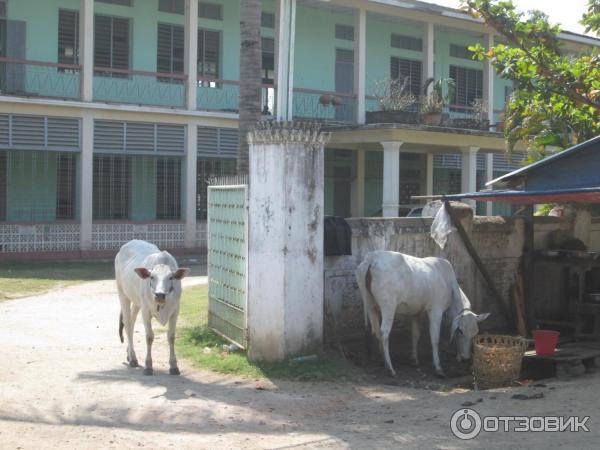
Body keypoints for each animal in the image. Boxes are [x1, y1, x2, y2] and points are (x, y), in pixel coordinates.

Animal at [112, 239, 188, 376]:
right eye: (152, 277)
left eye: (171, 277)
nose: (160, 294)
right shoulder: (146, 312)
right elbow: (149, 337)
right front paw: (148, 366)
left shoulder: (175, 311)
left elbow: (171, 337)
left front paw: (174, 366)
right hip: (123, 294)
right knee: (128, 324)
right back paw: (133, 358)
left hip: (137, 302)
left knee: (131, 323)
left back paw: (129, 354)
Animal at [356, 250, 488, 376]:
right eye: (460, 331)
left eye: (475, 333)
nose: (466, 358)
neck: (450, 285)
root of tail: (372, 257)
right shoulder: (436, 310)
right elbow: (435, 339)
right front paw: (438, 368)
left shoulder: (416, 312)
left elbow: (415, 334)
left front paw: (414, 359)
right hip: (388, 306)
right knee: (384, 332)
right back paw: (390, 368)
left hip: (370, 304)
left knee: (376, 330)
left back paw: (382, 360)